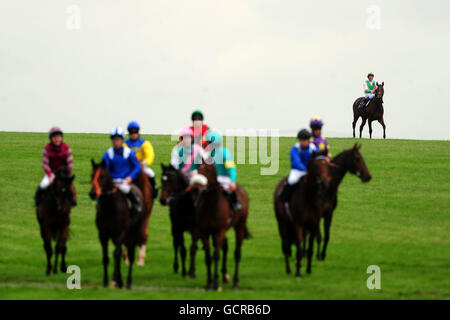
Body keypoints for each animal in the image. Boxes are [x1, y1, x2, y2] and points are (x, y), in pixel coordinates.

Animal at [87, 159, 145, 288]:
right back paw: (120, 281)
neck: (110, 206)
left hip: (133, 232)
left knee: (130, 254)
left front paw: (114, 279)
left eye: (102, 176)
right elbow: (106, 257)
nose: (92, 194)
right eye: (92, 175)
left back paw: (128, 282)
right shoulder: (103, 234)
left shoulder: (120, 233)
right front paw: (106, 281)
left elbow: (116, 254)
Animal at [192, 161, 251, 292]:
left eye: (208, 170)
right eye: (197, 169)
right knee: (226, 246)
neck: (210, 206)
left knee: (237, 253)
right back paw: (225, 276)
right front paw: (209, 283)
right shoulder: (205, 232)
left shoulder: (219, 231)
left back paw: (235, 282)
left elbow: (216, 256)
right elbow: (208, 257)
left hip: (239, 226)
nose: (196, 187)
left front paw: (216, 284)